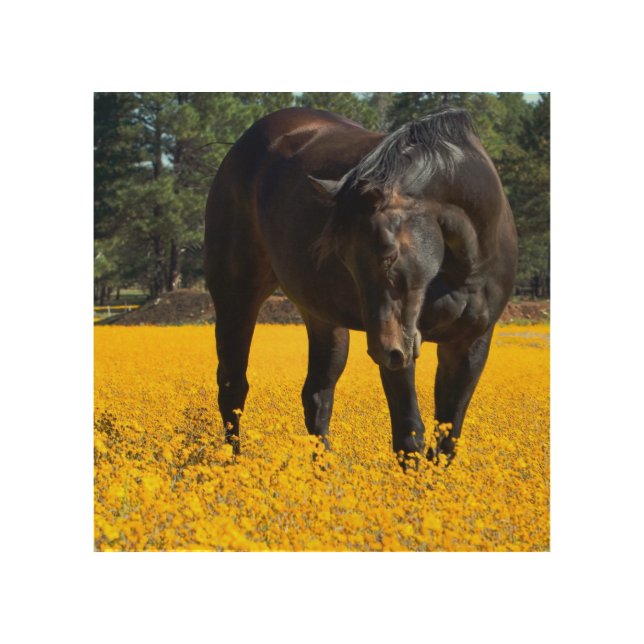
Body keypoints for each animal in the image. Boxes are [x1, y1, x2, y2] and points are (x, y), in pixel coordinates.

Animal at [204, 106, 517, 464]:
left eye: (389, 252)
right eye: (344, 256)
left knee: (317, 395)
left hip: (324, 320)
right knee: (233, 387)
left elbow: (447, 441)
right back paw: (233, 462)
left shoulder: (470, 344)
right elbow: (409, 436)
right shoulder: (401, 349)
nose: (383, 349)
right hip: (236, 296)